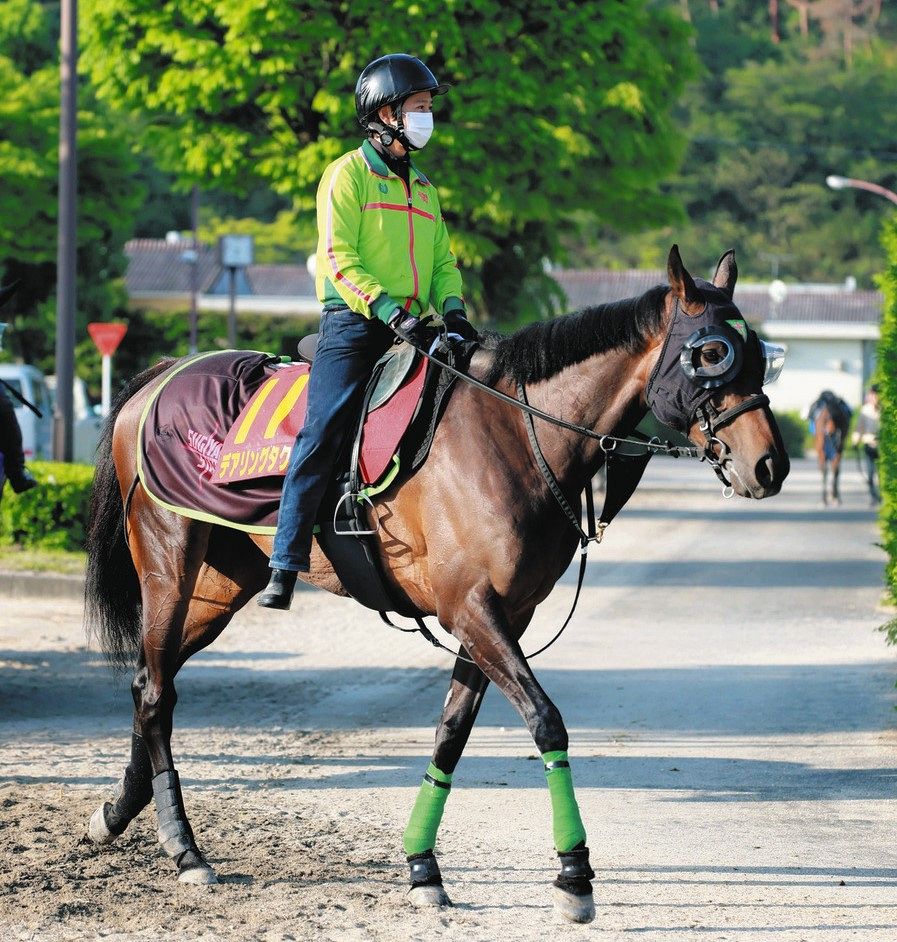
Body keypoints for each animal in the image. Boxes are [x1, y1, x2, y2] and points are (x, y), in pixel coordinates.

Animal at [83, 246, 789, 923]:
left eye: (761, 356)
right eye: (712, 353)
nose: (770, 465)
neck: (513, 432)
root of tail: (163, 376)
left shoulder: (504, 615)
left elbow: (451, 732)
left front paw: (423, 867)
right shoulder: (472, 610)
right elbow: (546, 723)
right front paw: (574, 874)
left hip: (217, 588)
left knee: (151, 682)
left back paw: (120, 813)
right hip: (171, 565)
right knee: (157, 692)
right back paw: (184, 849)